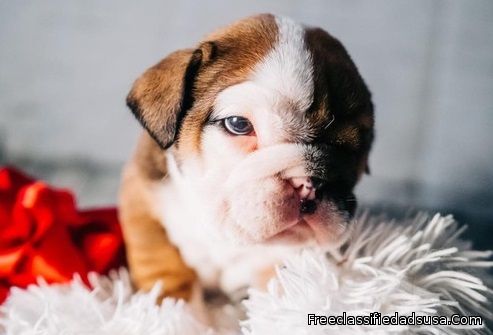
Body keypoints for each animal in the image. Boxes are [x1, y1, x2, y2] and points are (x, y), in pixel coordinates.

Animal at [119, 14, 372, 310]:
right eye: (239, 124)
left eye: (357, 147)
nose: (310, 182)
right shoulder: (144, 205)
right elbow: (166, 273)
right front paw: (178, 315)